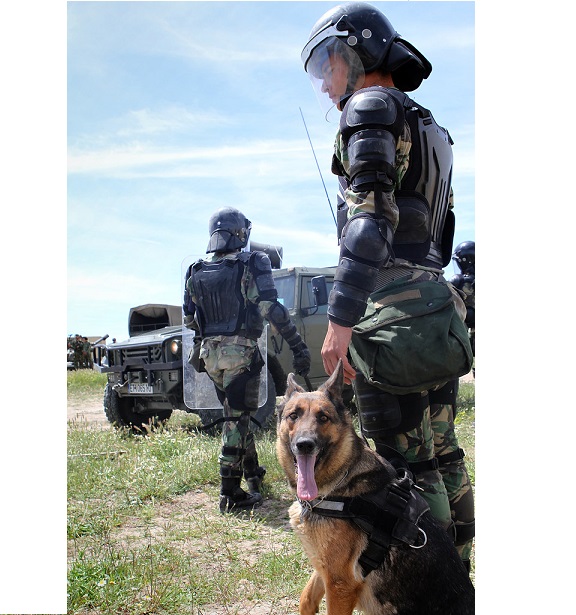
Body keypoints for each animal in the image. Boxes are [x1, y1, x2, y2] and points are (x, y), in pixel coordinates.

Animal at [276, 360, 474, 615]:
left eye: (323, 418)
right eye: (293, 415)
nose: (305, 445)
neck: (339, 481)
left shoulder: (341, 583)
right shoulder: (326, 567)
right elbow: (307, 598)